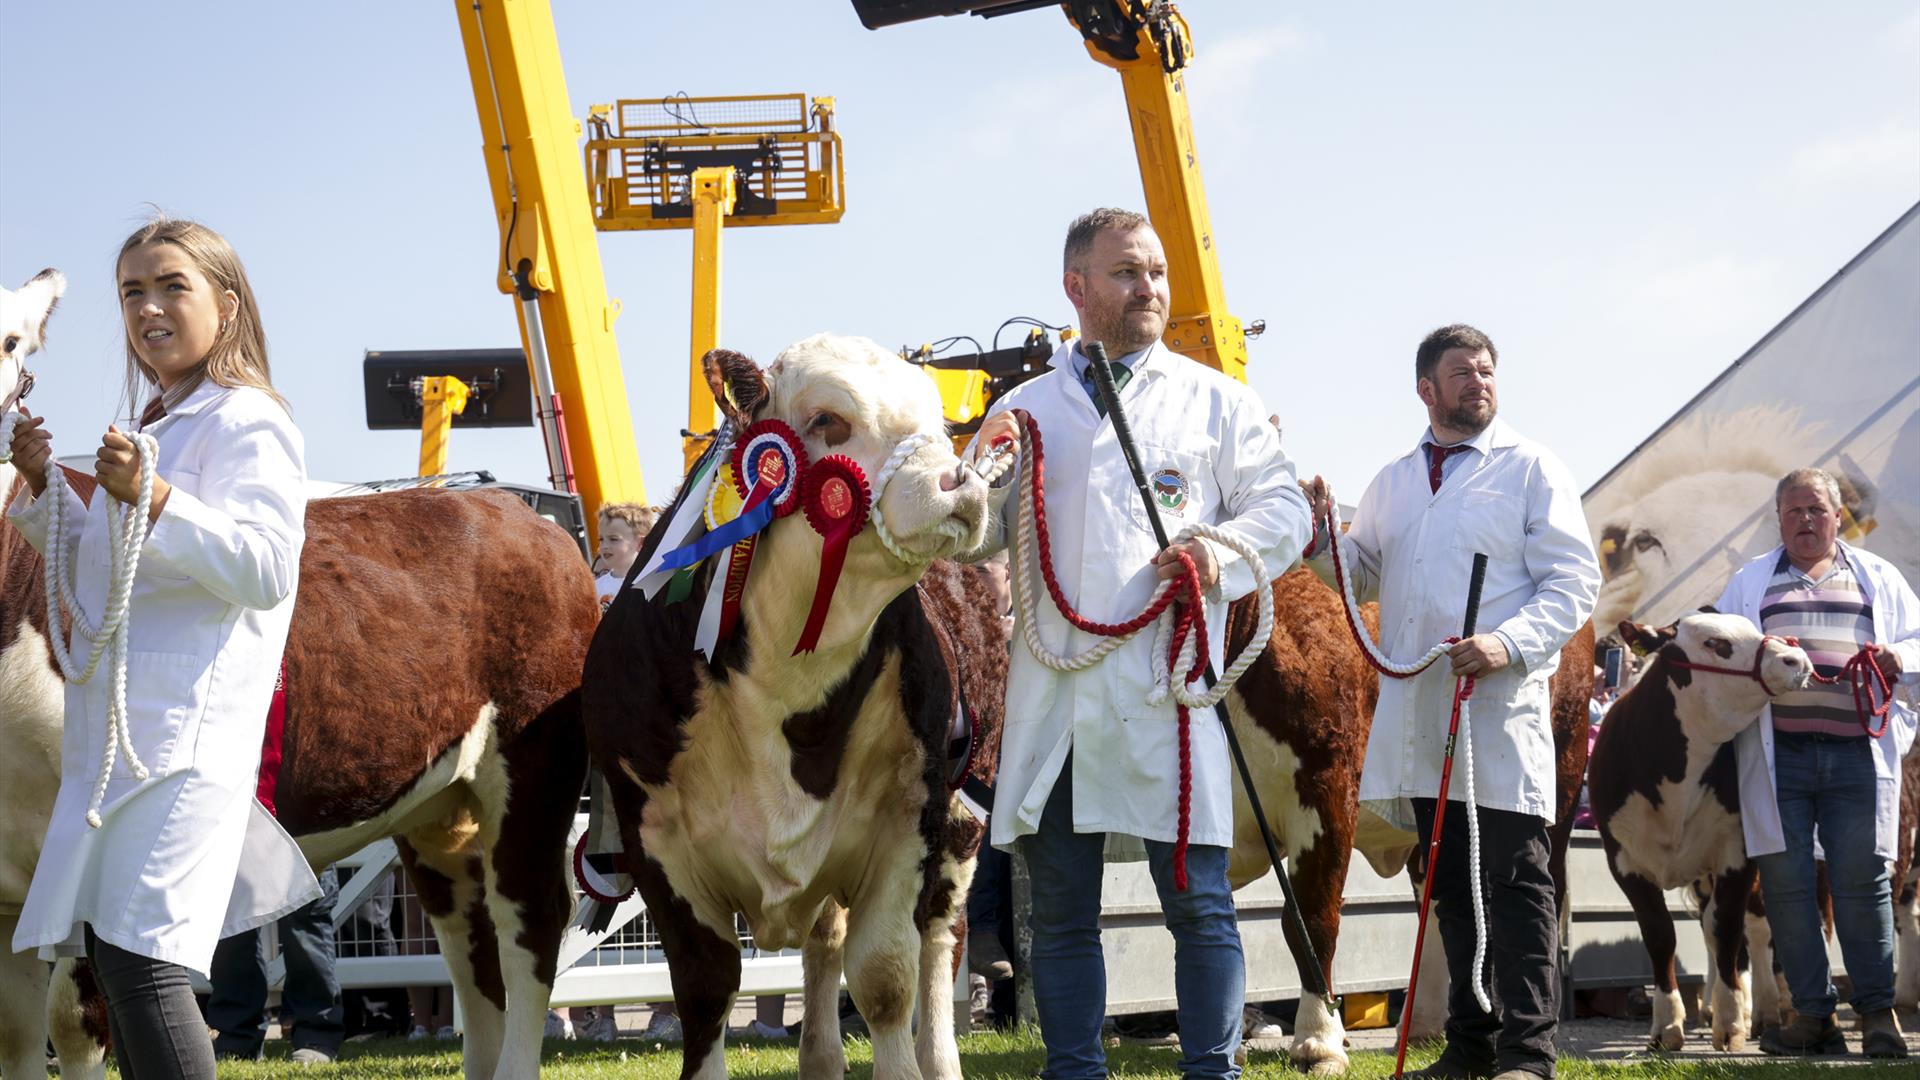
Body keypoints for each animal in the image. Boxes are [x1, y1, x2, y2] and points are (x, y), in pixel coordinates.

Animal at [1, 269, 599, 1076]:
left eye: (10, 340)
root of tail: (522, 516)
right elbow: (15, 1033)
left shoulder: (74, 852)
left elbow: (72, 1021)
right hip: (438, 805)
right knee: (469, 943)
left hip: (533, 768)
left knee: (530, 924)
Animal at [579, 336, 1006, 1076]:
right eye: (828, 418)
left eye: (941, 422)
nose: (962, 481)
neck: (790, 694)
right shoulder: (654, 843)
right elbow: (706, 991)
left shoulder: (908, 823)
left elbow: (887, 979)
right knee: (824, 942)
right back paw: (821, 1057)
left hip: (959, 827)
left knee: (938, 942)